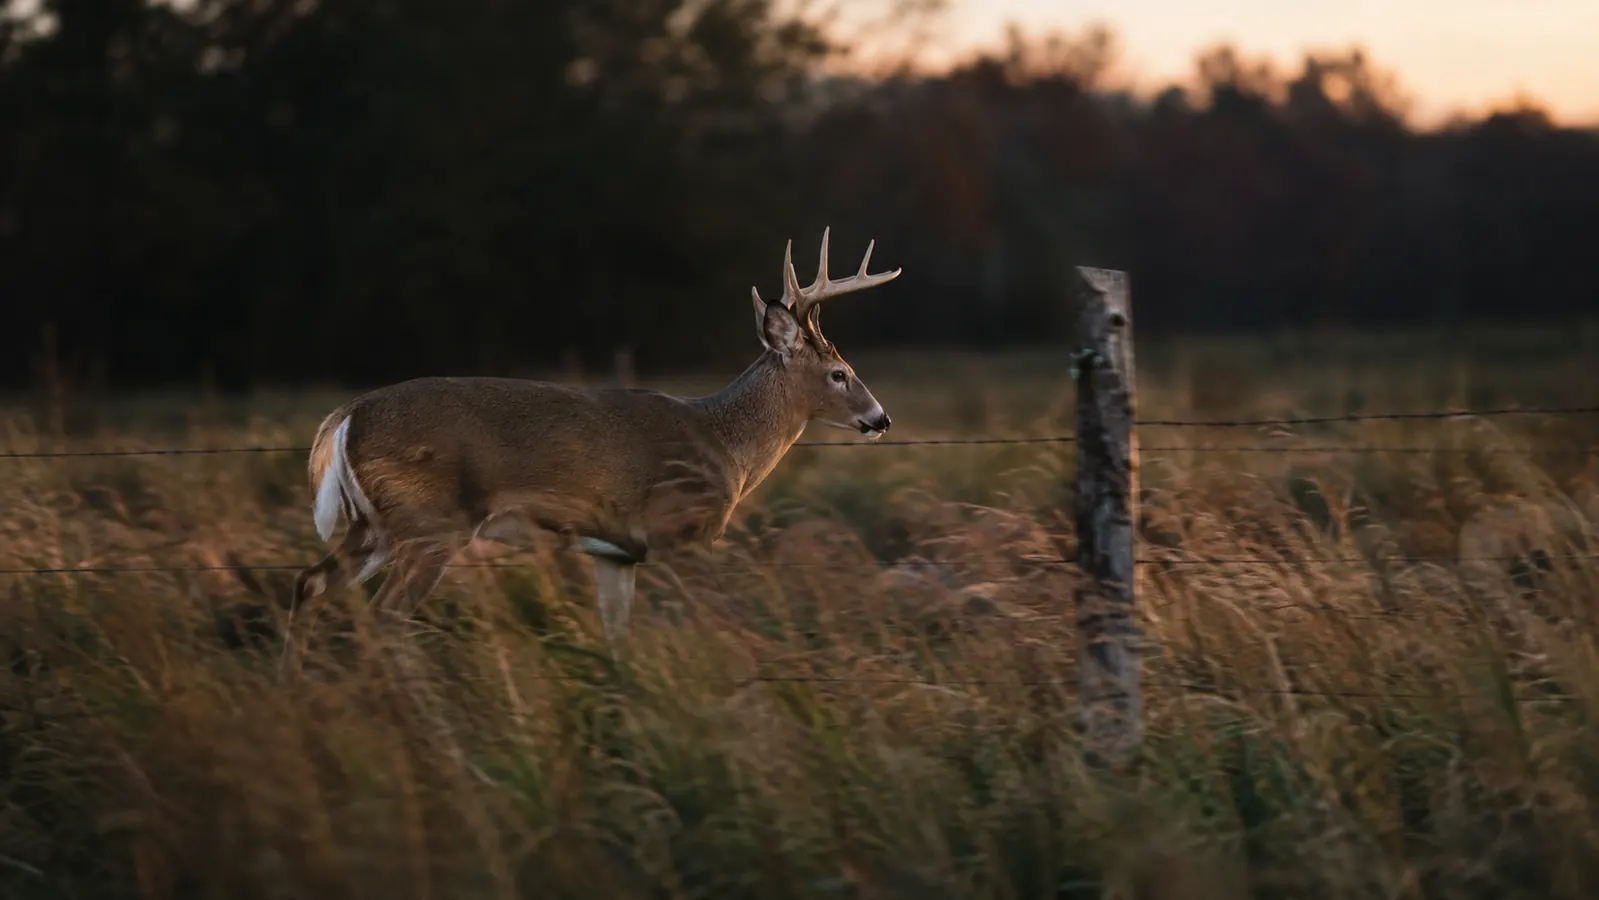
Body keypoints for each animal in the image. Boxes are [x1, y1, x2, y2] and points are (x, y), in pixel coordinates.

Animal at [288, 228, 901, 660]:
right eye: (840, 374)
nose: (881, 418)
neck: (727, 445)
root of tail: (344, 417)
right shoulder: (681, 530)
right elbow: (716, 624)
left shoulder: (615, 554)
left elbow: (617, 641)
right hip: (431, 521)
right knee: (386, 617)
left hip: (377, 524)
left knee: (309, 583)